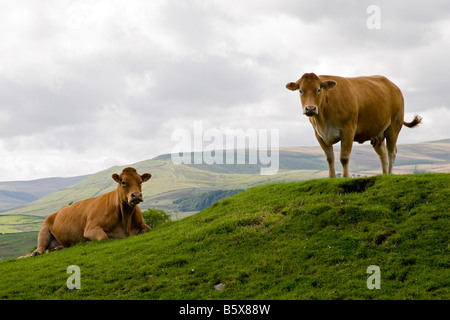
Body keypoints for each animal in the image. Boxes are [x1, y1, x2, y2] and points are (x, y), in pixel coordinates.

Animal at [288, 73, 422, 178]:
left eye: (318, 89)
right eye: (301, 91)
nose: (310, 108)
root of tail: (394, 86)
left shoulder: (348, 130)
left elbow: (344, 157)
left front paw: (345, 177)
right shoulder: (319, 135)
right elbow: (330, 157)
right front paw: (332, 177)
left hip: (394, 126)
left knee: (391, 152)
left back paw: (389, 174)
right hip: (377, 133)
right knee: (383, 155)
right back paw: (384, 175)